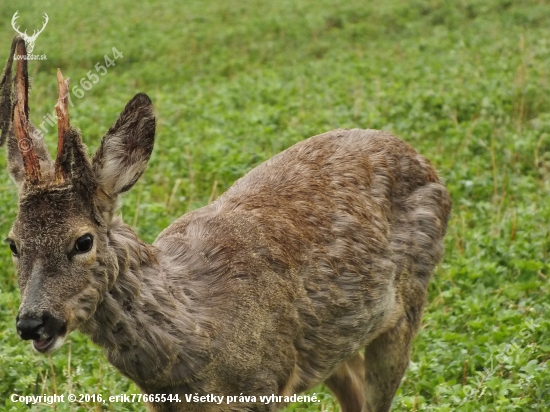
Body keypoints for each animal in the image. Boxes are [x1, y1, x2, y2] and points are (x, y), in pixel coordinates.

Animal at [1, 36, 452, 412]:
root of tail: (424, 161)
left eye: (83, 241)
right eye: (13, 243)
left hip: (408, 301)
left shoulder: (264, 383)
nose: (32, 322)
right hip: (335, 344)